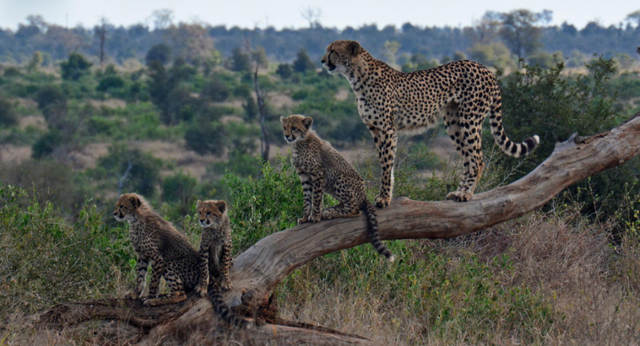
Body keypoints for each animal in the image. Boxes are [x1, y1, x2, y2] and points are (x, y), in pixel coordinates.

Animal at [282, 115, 396, 260]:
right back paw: (330, 210)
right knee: (345, 204)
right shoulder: (305, 177)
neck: (299, 142)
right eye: (285, 127)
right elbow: (307, 200)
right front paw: (305, 217)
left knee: (355, 209)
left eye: (294, 128)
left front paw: (315, 216)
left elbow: (316, 198)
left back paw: (330, 213)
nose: (286, 136)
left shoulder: (318, 174)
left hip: (339, 179)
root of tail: (364, 195)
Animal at [320, 39, 540, 205]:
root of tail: (485, 68)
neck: (357, 76)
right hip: (454, 123)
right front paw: (385, 194)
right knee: (468, 159)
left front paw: (384, 198)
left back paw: (466, 194)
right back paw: (458, 192)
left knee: (477, 159)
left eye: (333, 51)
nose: (322, 61)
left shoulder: (387, 130)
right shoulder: (375, 130)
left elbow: (386, 164)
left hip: (470, 120)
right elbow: (385, 163)